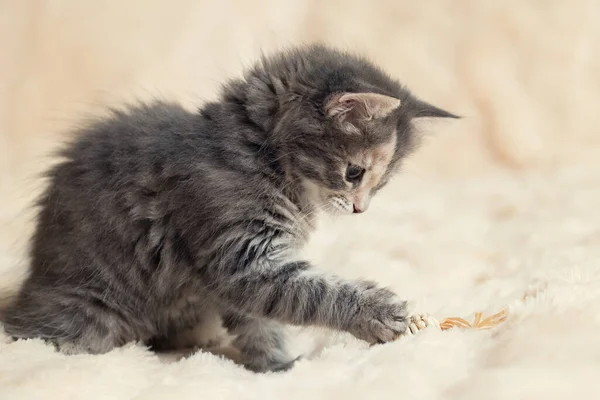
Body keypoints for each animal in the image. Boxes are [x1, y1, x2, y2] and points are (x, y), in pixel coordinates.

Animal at [1, 43, 460, 372]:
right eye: (354, 173)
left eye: (381, 184)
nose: (361, 209)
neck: (257, 158)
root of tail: (33, 284)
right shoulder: (240, 257)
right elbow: (314, 294)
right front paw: (377, 314)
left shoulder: (242, 269)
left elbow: (259, 322)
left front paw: (275, 365)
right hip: (88, 315)